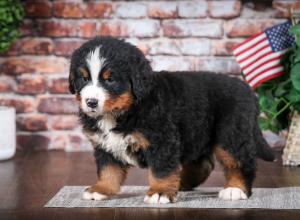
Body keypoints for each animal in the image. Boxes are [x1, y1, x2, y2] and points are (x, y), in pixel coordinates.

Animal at [69, 35, 276, 203]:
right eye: (83, 78)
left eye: (110, 79)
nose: (91, 102)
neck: (124, 110)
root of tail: (247, 90)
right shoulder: (104, 145)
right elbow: (108, 170)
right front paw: (101, 189)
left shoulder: (162, 140)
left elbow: (161, 170)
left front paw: (160, 192)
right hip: (197, 131)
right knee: (203, 164)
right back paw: (182, 182)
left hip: (231, 134)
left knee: (241, 162)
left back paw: (235, 189)